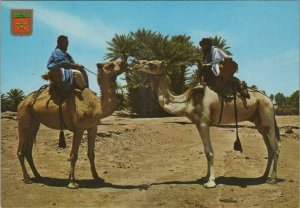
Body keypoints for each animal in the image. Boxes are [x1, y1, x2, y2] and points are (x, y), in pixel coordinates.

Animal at [16, 59, 126, 188]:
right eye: (110, 64)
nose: (124, 61)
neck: (97, 107)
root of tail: (21, 103)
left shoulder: (93, 127)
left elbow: (91, 153)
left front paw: (97, 178)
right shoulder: (79, 129)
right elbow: (74, 155)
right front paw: (72, 182)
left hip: (34, 124)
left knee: (28, 151)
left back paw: (38, 176)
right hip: (23, 120)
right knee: (21, 151)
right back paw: (27, 178)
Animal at [132, 59, 280, 188]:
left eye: (152, 64)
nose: (136, 64)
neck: (188, 102)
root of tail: (269, 99)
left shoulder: (204, 122)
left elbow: (210, 152)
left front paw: (211, 182)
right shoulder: (198, 124)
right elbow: (205, 151)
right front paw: (205, 177)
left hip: (266, 116)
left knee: (275, 149)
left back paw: (272, 179)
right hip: (259, 122)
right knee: (269, 149)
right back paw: (263, 176)